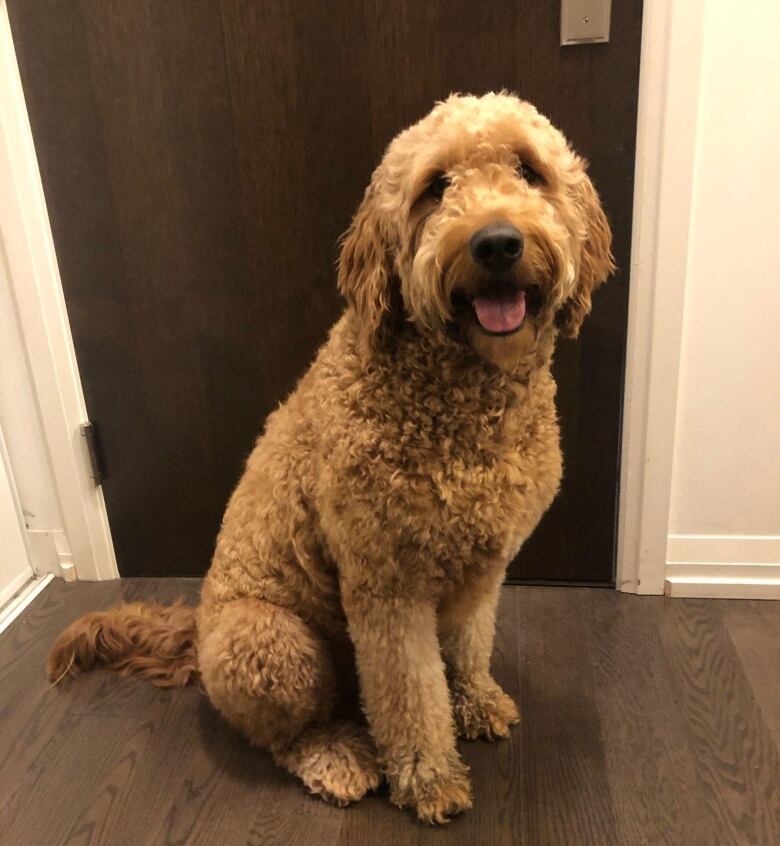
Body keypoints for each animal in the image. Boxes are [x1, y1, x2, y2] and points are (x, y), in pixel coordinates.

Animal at [47, 93, 616, 828]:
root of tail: (195, 630)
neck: (462, 397)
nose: (496, 243)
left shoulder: (481, 569)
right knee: (283, 734)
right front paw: (430, 778)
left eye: (527, 169)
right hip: (272, 645)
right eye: (435, 187)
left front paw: (476, 700)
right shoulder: (387, 586)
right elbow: (410, 695)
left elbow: (467, 645)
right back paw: (338, 757)